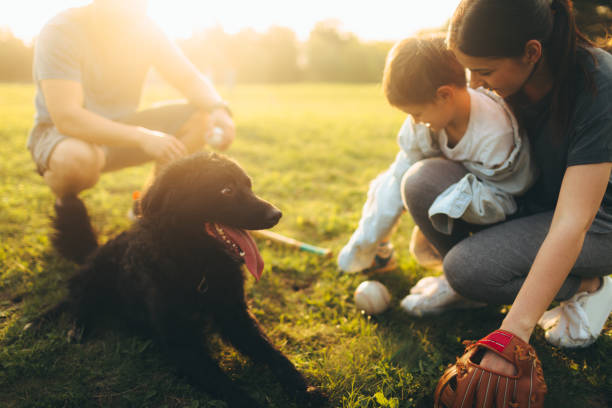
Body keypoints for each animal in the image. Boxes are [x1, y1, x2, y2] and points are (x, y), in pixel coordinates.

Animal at [48, 152, 326, 408]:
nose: (277, 214)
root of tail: (95, 249)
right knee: (77, 294)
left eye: (249, 185)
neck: (198, 268)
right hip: (96, 273)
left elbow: (274, 354)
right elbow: (229, 386)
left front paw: (305, 389)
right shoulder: (181, 342)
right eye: (226, 190)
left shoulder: (236, 317)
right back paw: (73, 326)